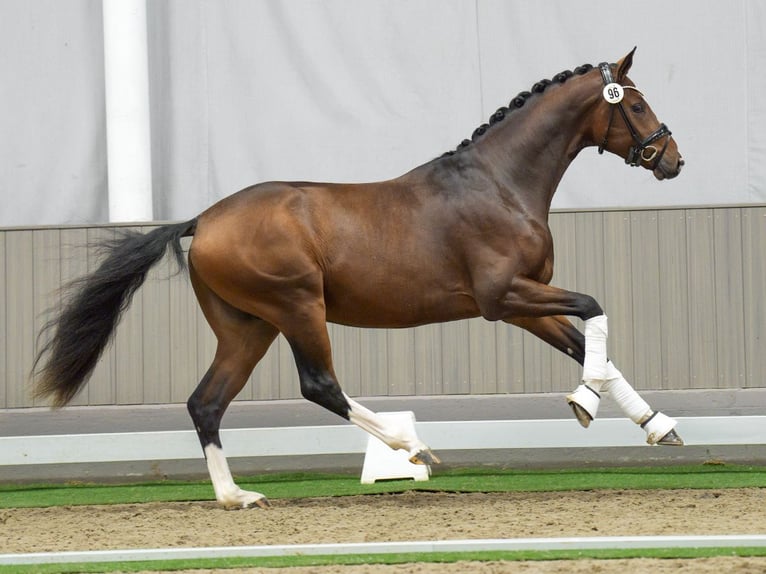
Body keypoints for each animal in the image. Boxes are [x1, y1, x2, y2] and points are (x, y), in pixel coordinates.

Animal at [34, 48, 684, 508]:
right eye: (637, 105)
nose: (674, 159)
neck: (500, 183)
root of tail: (203, 219)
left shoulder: (524, 304)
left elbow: (590, 345)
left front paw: (658, 427)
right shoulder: (504, 297)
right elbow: (594, 309)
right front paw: (583, 402)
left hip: (247, 328)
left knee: (206, 403)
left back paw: (235, 496)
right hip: (297, 308)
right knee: (319, 385)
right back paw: (411, 448)